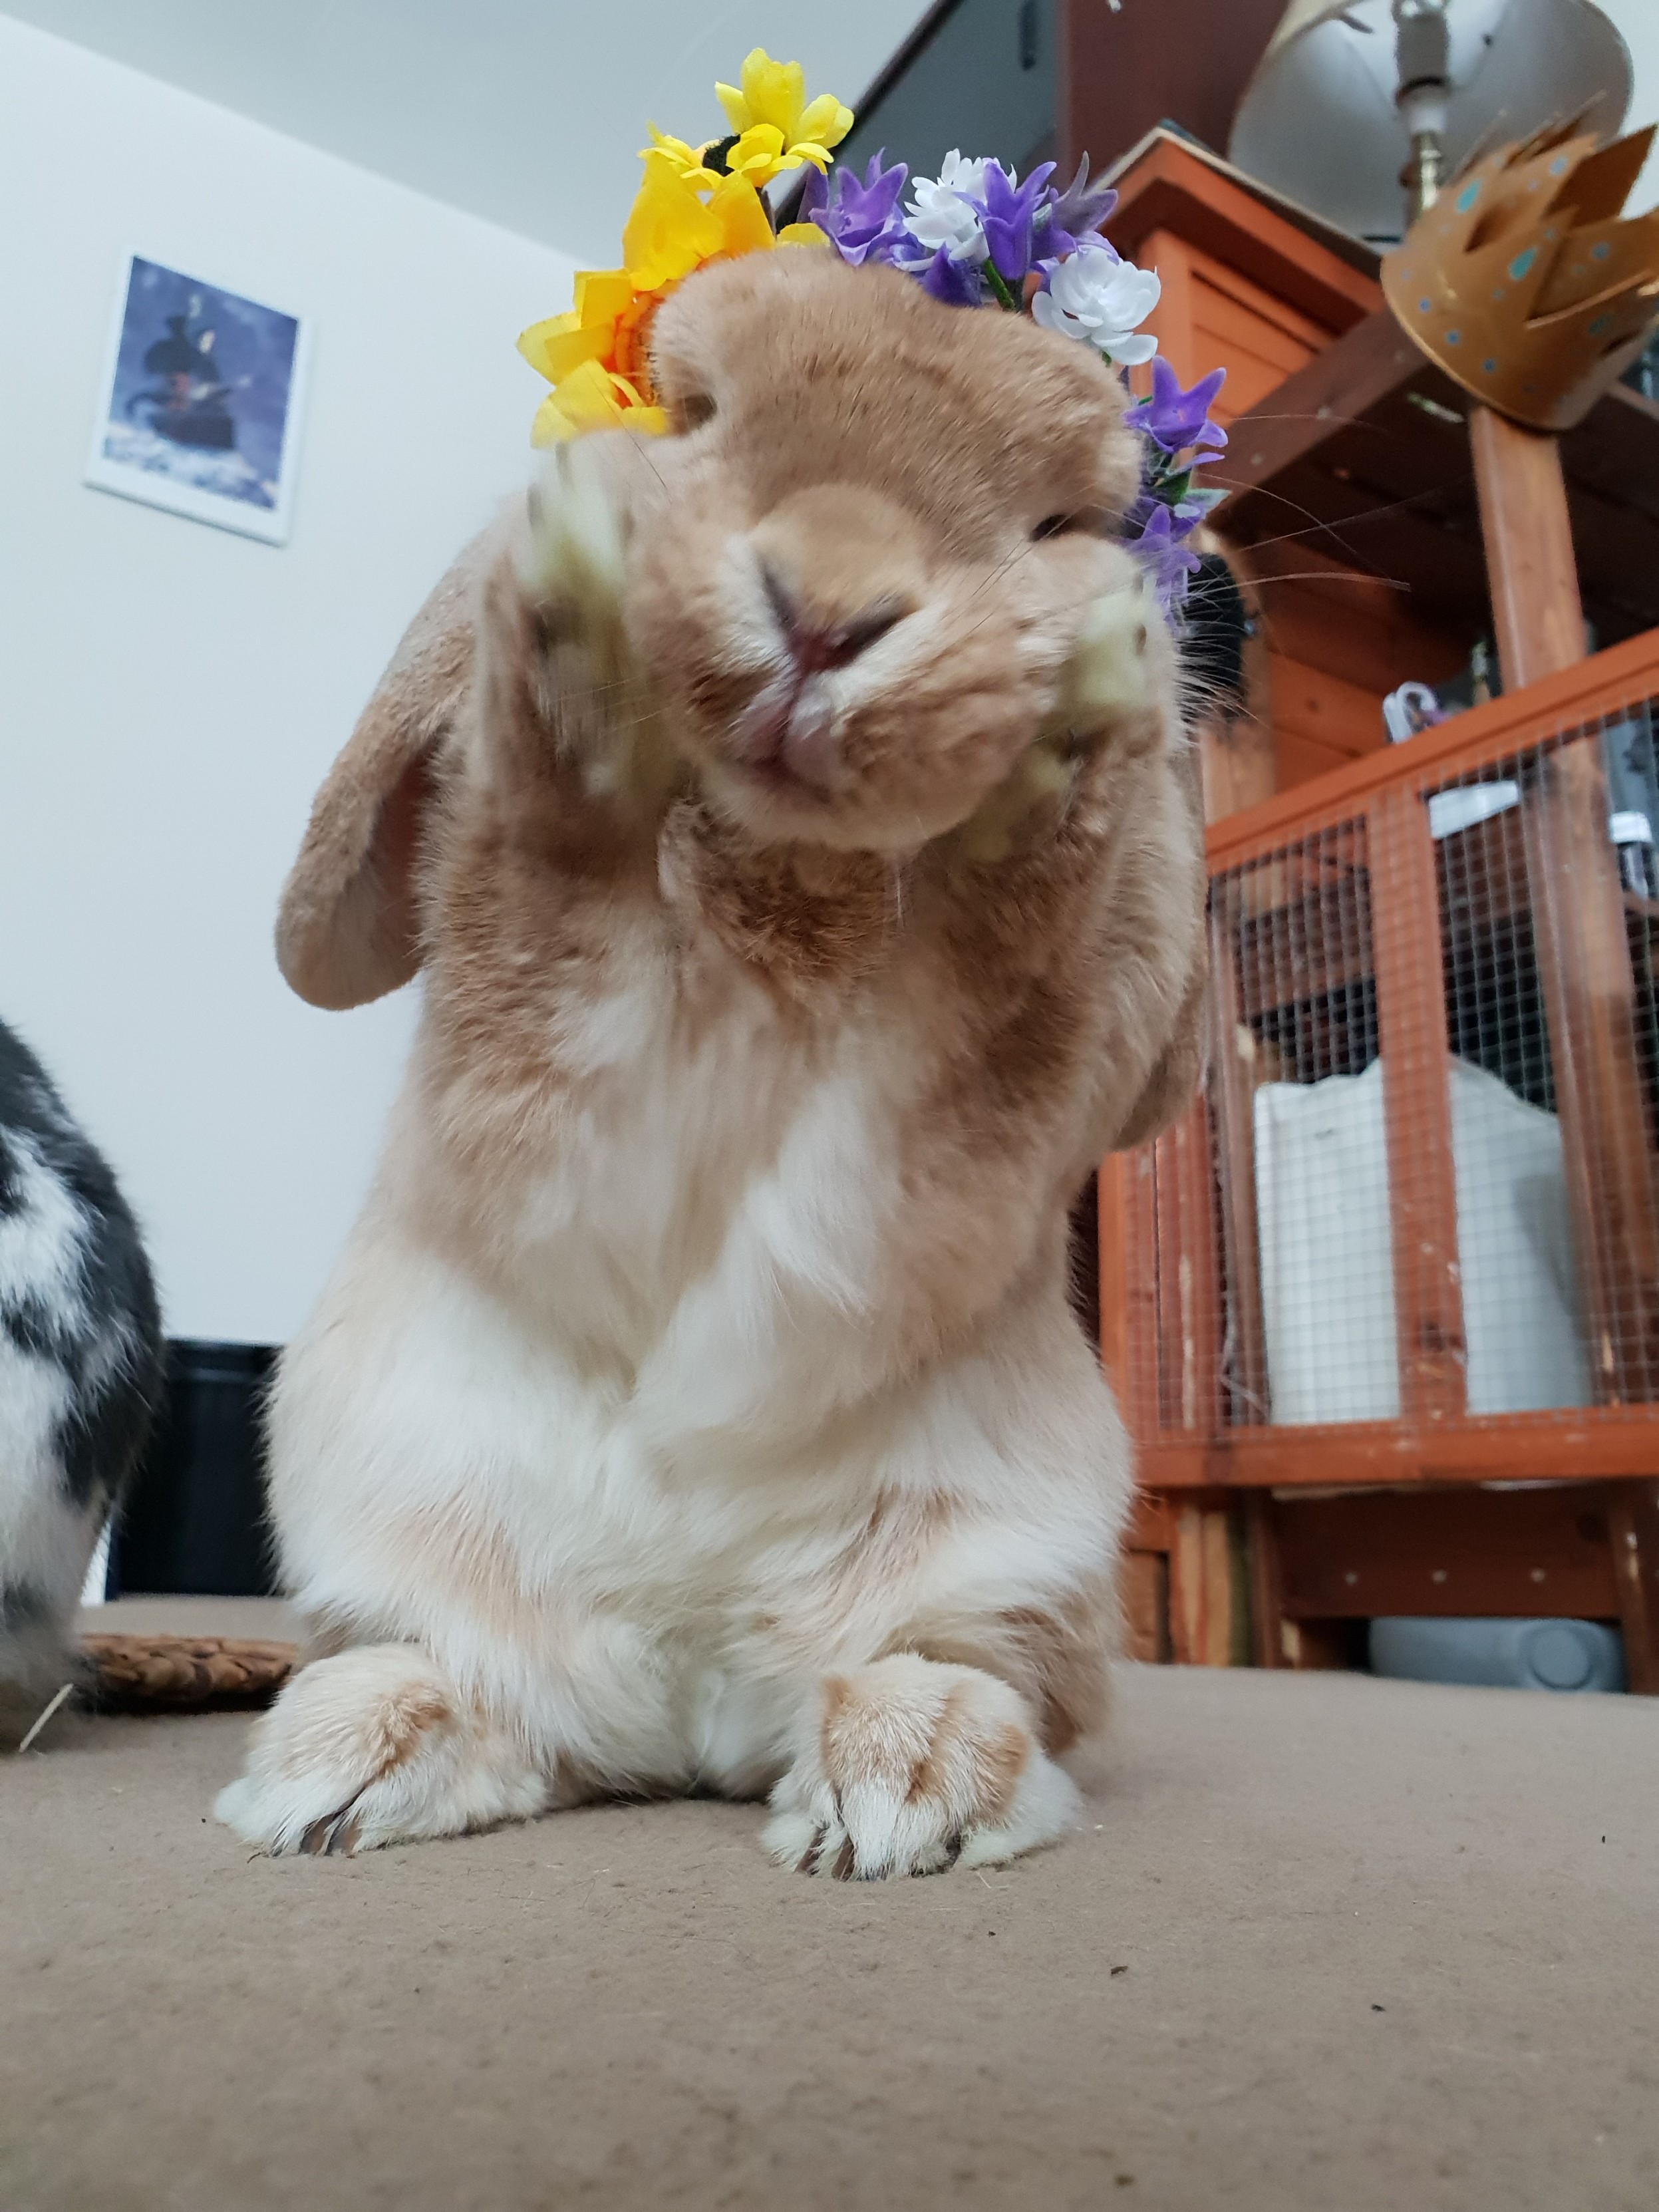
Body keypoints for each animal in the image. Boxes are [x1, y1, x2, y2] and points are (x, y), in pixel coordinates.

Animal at [218, 251, 1212, 1875]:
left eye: (1066, 525)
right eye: (687, 410)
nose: (828, 610)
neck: (783, 882)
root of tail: (681, 1706)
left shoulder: (933, 1151)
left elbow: (1008, 980)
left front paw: (1085, 700)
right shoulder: (553, 1072)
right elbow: (539, 866)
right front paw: (571, 588)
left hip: (1020, 1564)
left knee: (966, 1675)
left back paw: (901, 1788)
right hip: (385, 1516)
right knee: (467, 1687)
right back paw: (339, 1774)